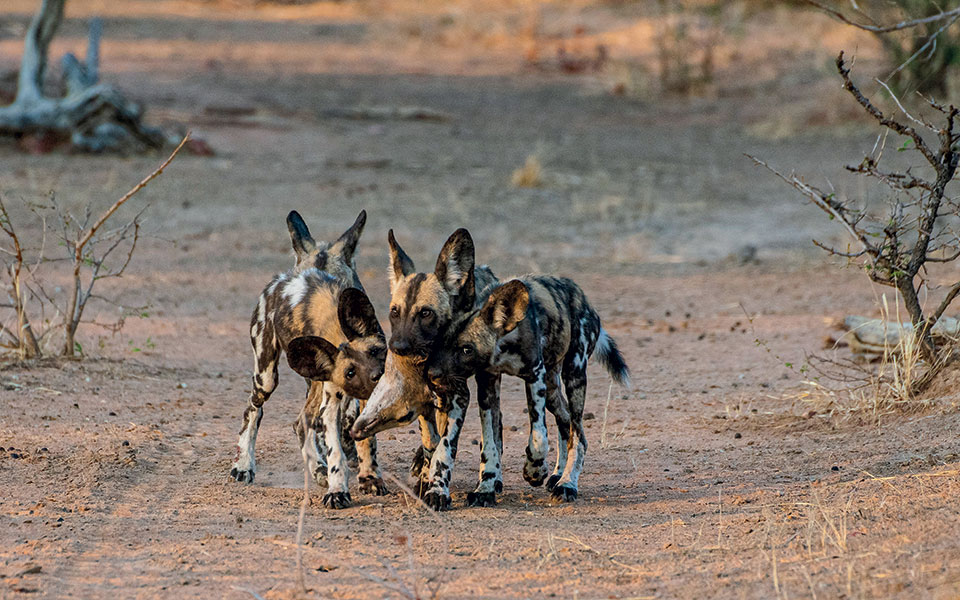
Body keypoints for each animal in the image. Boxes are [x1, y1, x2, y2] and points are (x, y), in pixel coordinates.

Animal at [230, 209, 390, 508]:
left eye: (376, 353)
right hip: (266, 376)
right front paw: (338, 489)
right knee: (254, 411)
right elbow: (335, 450)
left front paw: (370, 476)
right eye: (350, 371)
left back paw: (319, 467)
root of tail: (280, 279)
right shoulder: (333, 398)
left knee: (303, 421)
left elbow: (366, 439)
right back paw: (245, 465)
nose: (376, 377)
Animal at [348, 230, 498, 510]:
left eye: (426, 313)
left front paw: (437, 489)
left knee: (493, 432)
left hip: (487, 389)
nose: (397, 347)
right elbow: (431, 441)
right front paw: (427, 475)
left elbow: (445, 448)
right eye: (394, 312)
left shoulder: (457, 396)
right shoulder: (419, 399)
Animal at [428, 278, 632, 504]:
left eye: (466, 349)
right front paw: (485, 488)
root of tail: (584, 300)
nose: (431, 373)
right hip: (552, 388)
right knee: (565, 420)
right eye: (439, 343)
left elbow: (539, 437)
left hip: (574, 374)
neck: (505, 344)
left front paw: (534, 471)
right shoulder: (488, 383)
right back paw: (558, 474)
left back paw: (567, 484)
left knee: (579, 435)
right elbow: (490, 443)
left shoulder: (535, 375)